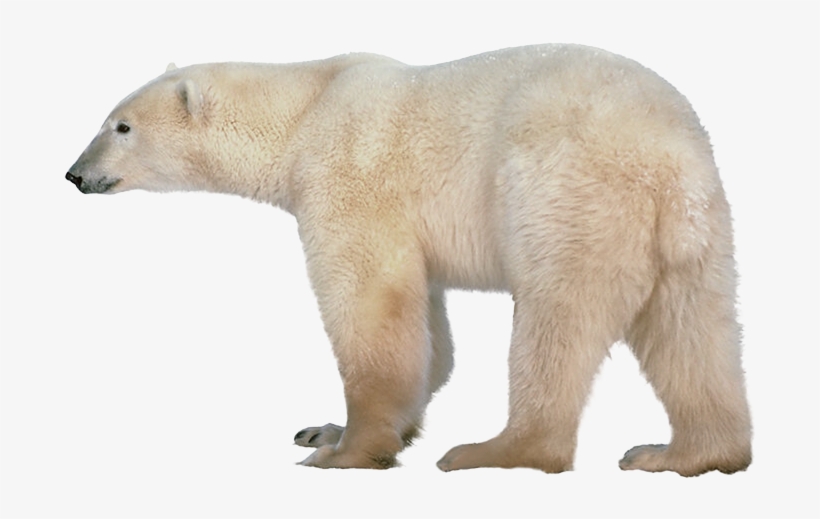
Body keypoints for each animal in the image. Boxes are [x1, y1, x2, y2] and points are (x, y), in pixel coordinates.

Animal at [66, 44, 752, 475]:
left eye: (121, 126)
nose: (75, 174)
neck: (305, 107)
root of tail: (670, 152)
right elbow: (429, 332)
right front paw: (326, 429)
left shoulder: (348, 176)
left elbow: (372, 305)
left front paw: (344, 451)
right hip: (694, 231)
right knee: (693, 333)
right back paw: (683, 454)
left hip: (568, 192)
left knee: (558, 320)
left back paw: (493, 450)